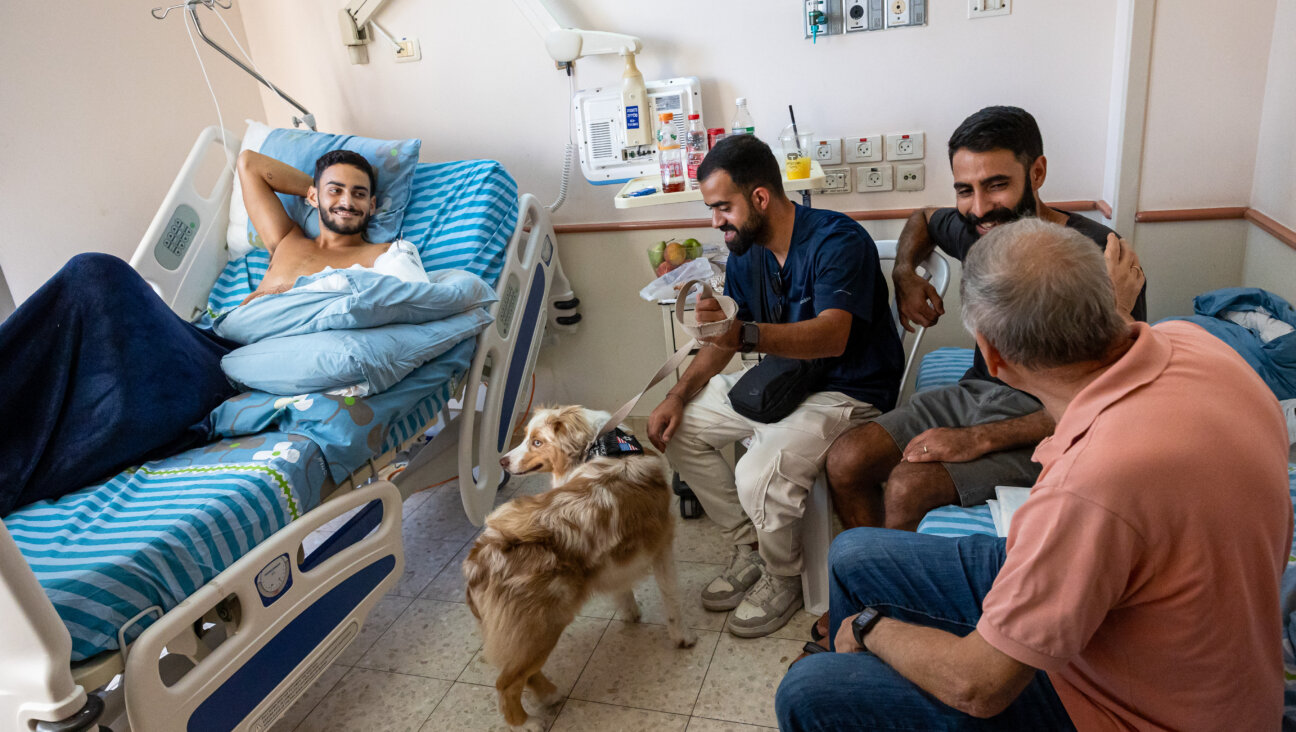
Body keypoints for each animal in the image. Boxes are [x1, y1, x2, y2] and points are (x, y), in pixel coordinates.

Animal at [461, 409, 694, 725]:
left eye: (536, 441)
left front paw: (631, 613)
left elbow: (622, 589)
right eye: (527, 438)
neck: (604, 447)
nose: (502, 462)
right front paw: (682, 637)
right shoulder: (662, 546)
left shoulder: (615, 556)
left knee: (523, 674)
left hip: (530, 631)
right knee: (506, 683)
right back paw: (526, 724)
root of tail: (479, 559)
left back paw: (549, 695)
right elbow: (672, 601)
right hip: (542, 626)